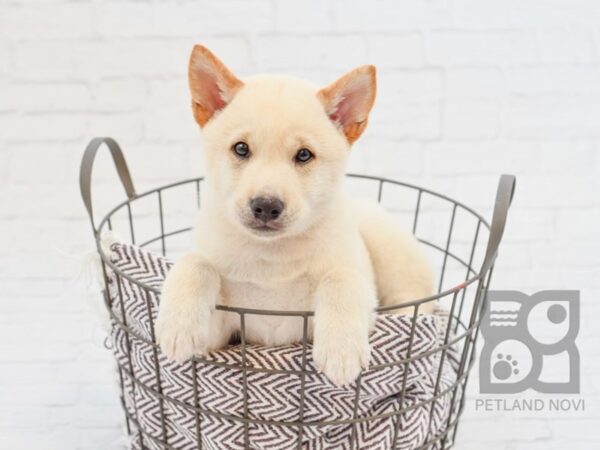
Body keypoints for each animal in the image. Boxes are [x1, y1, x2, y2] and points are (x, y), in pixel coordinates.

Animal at [157, 44, 434, 384]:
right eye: (241, 149)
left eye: (304, 155)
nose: (265, 205)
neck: (272, 260)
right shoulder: (222, 334)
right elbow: (195, 263)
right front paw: (179, 325)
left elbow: (341, 277)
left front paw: (341, 348)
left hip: (389, 246)